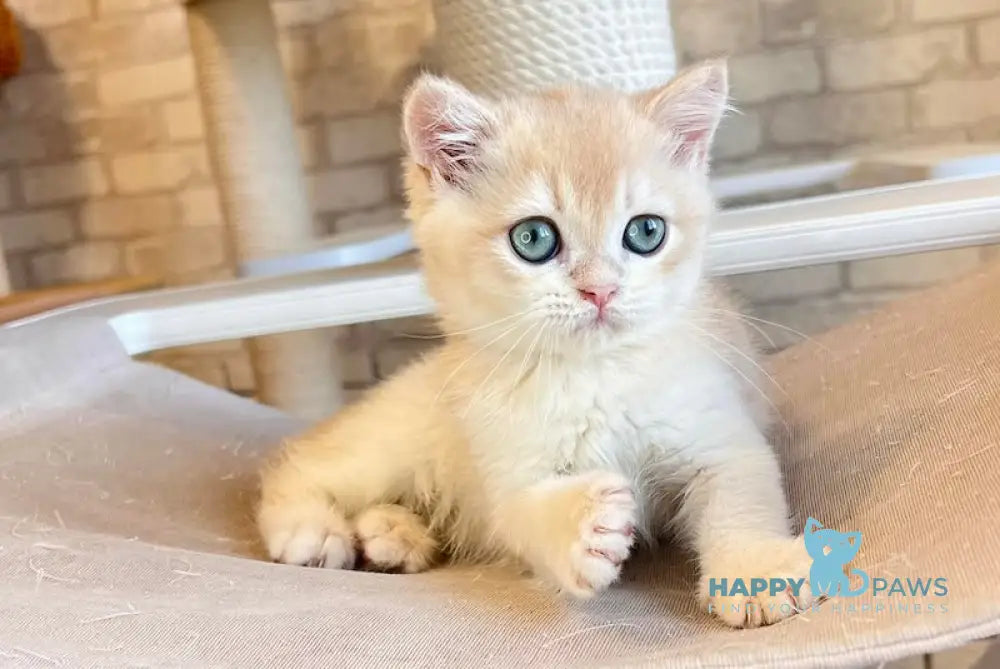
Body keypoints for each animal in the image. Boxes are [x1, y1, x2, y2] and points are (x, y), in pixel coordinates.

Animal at [258, 61, 812, 628]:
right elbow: (522, 514)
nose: (600, 290)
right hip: (398, 442)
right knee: (301, 462)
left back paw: (394, 536)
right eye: (533, 239)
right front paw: (581, 525)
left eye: (646, 231)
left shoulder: (719, 430)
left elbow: (742, 495)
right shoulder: (504, 467)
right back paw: (312, 530)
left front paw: (756, 569)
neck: (593, 375)